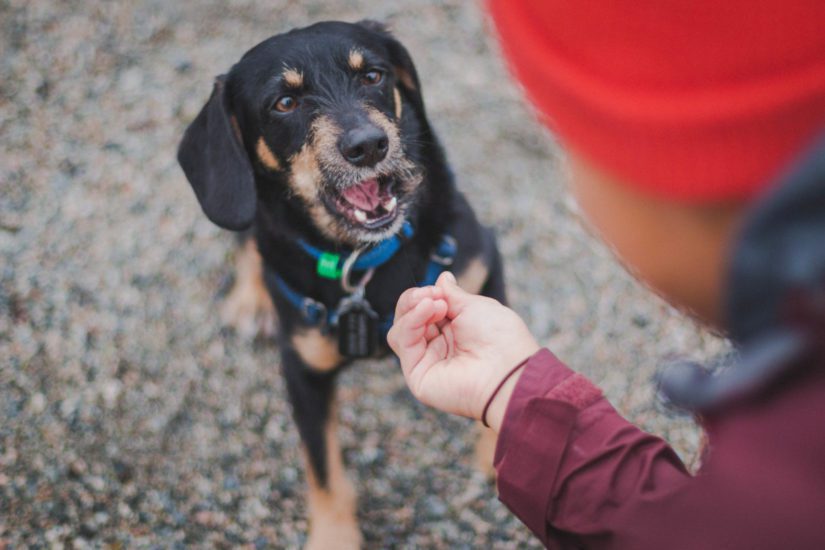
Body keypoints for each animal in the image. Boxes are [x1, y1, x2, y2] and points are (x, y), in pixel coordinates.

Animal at [177, 19, 506, 548]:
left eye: (372, 75)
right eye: (284, 103)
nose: (369, 145)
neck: (364, 259)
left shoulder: (484, 268)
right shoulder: (303, 372)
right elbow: (324, 468)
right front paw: (334, 535)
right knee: (246, 237)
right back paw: (250, 300)